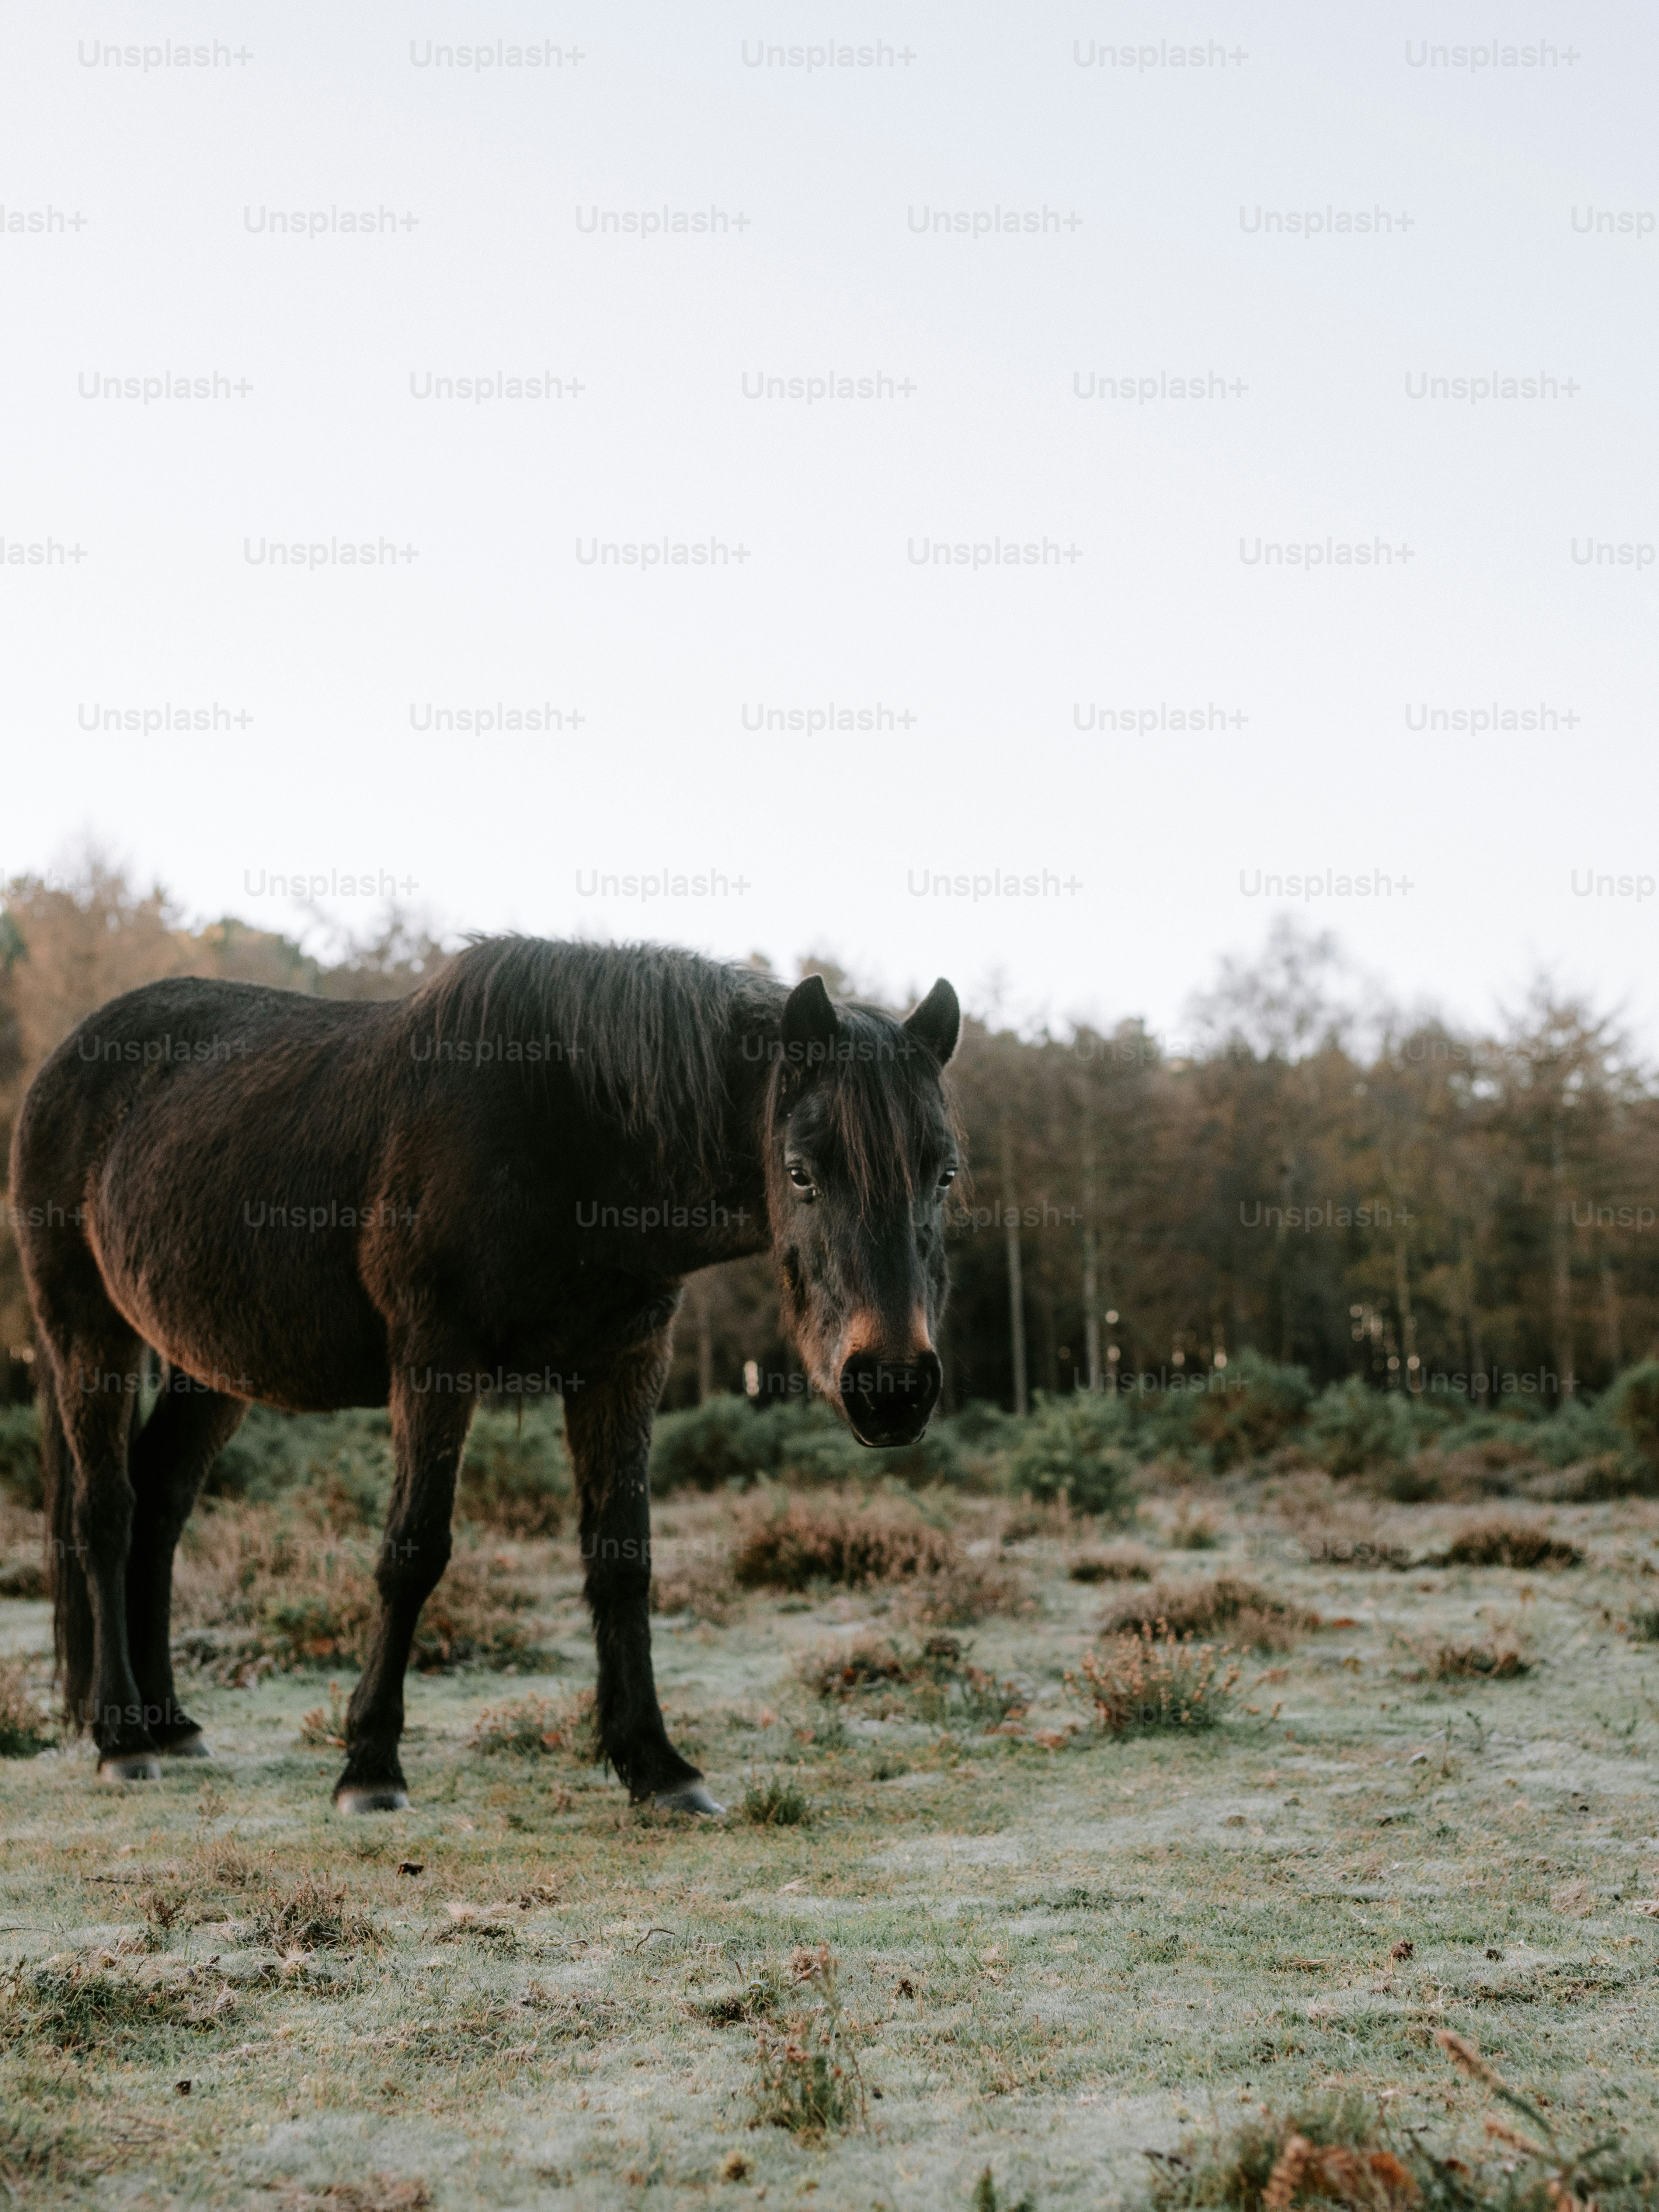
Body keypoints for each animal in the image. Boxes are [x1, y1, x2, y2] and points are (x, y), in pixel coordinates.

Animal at [9, 938, 961, 1814]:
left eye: (944, 1172)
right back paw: (122, 1738)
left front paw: (655, 1765)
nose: (891, 1387)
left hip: (211, 1370)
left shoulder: (624, 1364)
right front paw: (370, 1766)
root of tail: (65, 1063)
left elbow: (622, 1557)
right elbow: (414, 1550)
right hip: (87, 1332)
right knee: (106, 1514)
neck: (573, 1127)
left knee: (162, 1504)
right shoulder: (436, 1358)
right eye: (800, 1170)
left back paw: (171, 1722)